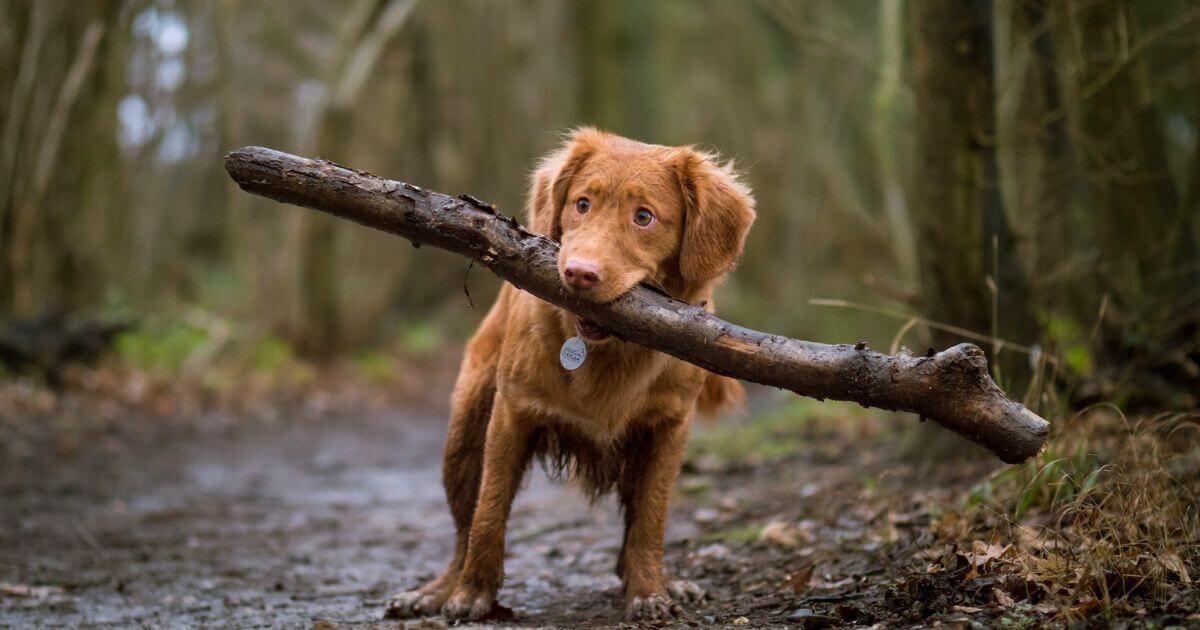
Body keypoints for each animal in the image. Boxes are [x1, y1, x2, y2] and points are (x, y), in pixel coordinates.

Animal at [388, 126, 753, 619]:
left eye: (644, 217)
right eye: (582, 204)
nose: (579, 273)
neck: (609, 351)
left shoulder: (669, 428)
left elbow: (650, 518)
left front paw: (649, 591)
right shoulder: (511, 414)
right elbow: (489, 512)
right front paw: (472, 594)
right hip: (464, 434)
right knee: (464, 526)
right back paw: (437, 590)